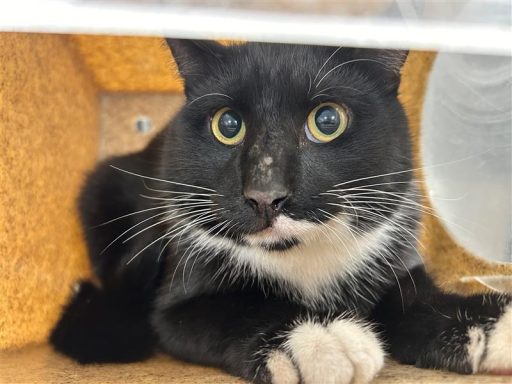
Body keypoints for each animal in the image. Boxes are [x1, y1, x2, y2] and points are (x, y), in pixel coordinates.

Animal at [50, 40, 510, 382]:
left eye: (328, 121)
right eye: (227, 125)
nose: (265, 194)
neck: (301, 255)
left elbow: (412, 296)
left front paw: (490, 322)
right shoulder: (177, 301)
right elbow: (237, 307)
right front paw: (318, 338)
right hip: (104, 190)